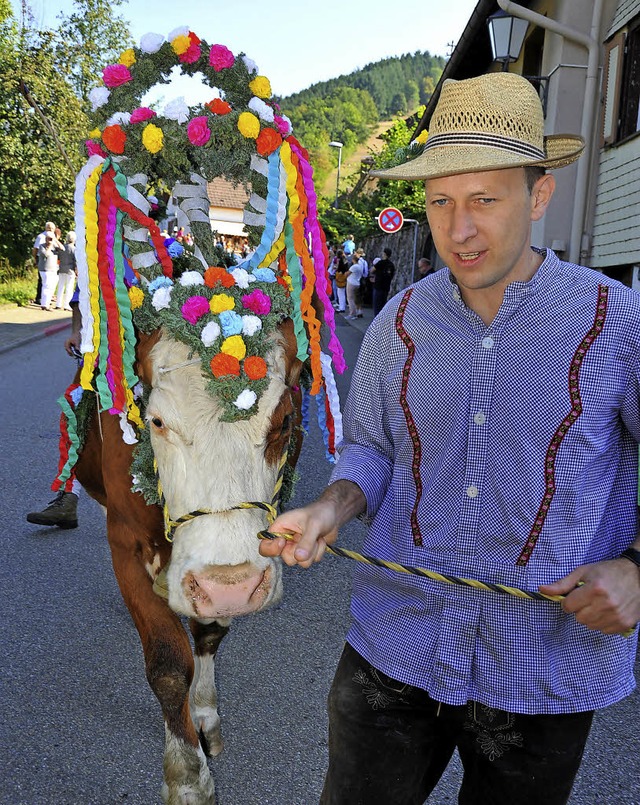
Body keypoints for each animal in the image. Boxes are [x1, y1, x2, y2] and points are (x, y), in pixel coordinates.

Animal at [74, 318, 304, 800]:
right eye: (157, 421)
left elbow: (208, 634)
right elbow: (166, 663)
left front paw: (203, 716)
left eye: (285, 421)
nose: (231, 585)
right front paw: (187, 777)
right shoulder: (124, 543)